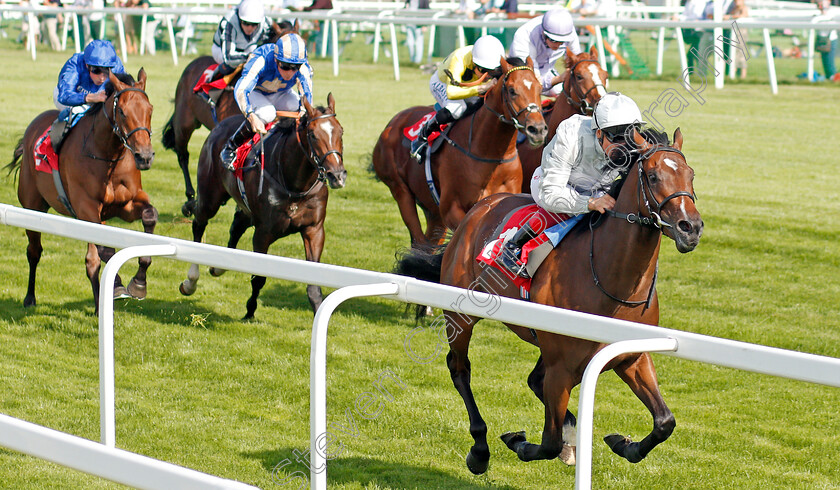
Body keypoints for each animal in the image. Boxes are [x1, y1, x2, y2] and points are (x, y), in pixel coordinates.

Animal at [7, 69, 158, 314]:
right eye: (122, 111)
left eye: (150, 109)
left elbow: (149, 216)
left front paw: (138, 283)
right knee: (34, 251)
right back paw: (30, 298)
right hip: (32, 207)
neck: (106, 155)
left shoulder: (125, 205)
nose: (144, 156)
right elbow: (97, 257)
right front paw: (105, 300)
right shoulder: (86, 208)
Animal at [179, 94, 346, 318]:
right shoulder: (263, 233)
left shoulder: (314, 229)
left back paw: (220, 266)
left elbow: (314, 283)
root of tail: (219, 125)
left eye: (340, 131)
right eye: (312, 135)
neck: (295, 185)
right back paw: (191, 281)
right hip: (209, 197)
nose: (337, 176)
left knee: (237, 224)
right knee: (199, 225)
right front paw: (250, 310)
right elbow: (258, 277)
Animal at [370, 57, 548, 247]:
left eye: (540, 89)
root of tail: (393, 123)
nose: (537, 129)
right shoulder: (451, 209)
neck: (489, 155)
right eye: (512, 90)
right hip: (400, 190)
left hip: (433, 213)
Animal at [394, 128, 704, 472]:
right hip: (461, 317)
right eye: (652, 176)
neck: (613, 283)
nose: (690, 228)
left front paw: (624, 444)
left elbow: (665, 421)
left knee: (533, 380)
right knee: (460, 369)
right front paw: (518, 441)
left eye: (690, 175)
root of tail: (479, 208)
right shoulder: (561, 369)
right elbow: (548, 442)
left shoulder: (631, 357)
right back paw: (480, 449)